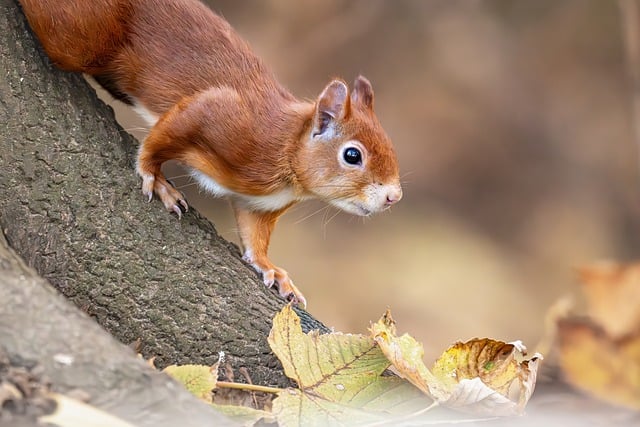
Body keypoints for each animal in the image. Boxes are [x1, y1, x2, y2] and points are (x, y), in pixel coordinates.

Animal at [18, 0, 403, 307]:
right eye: (352, 155)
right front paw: (156, 177)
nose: (394, 197)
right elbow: (164, 136)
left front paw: (272, 270)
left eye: (390, 146)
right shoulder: (219, 115)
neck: (286, 152)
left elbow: (254, 235)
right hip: (79, 38)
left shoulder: (259, 205)